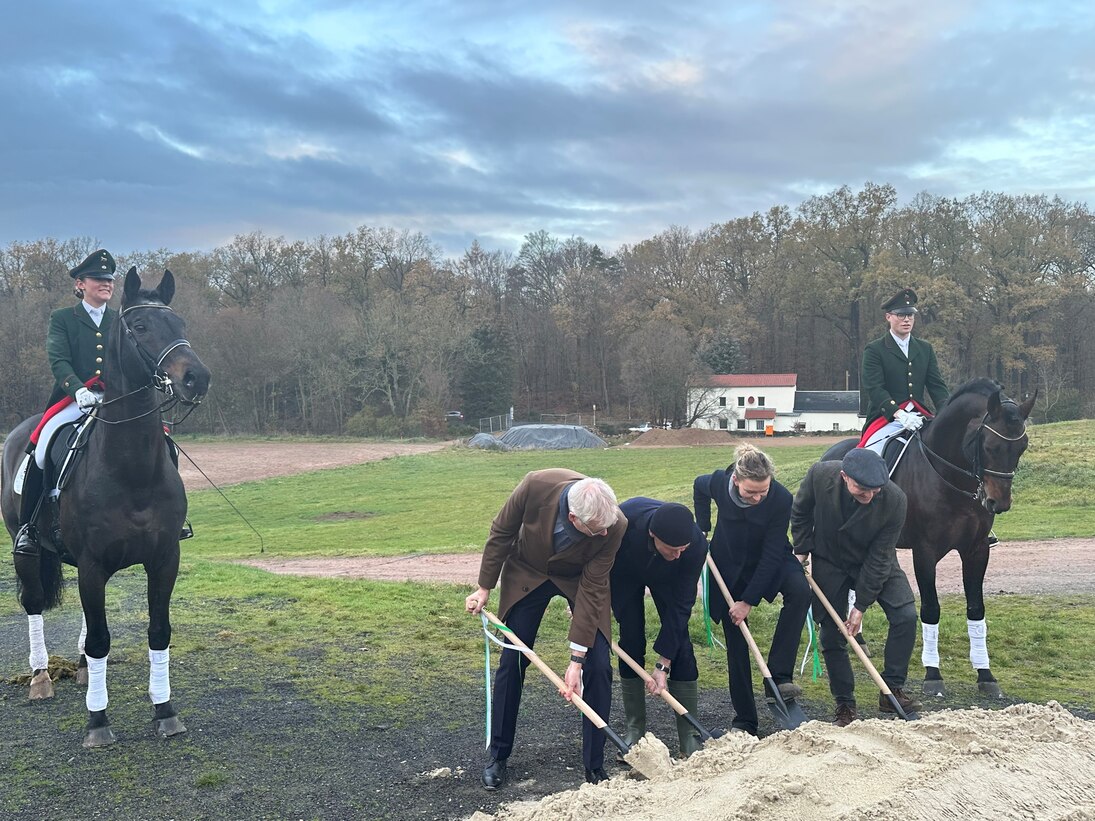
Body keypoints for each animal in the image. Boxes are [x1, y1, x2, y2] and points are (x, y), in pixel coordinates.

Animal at [0, 268, 211, 744]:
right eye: (140, 326)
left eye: (181, 323)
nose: (197, 378)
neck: (131, 470)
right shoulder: (94, 564)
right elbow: (99, 638)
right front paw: (98, 721)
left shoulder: (163, 559)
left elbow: (158, 631)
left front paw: (164, 710)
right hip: (28, 550)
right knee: (35, 603)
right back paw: (41, 678)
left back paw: (81, 671)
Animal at [823, 383, 1033, 696]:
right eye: (990, 447)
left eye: (1022, 447)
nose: (999, 502)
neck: (951, 478)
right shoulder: (925, 551)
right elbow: (931, 609)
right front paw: (933, 674)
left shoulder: (977, 550)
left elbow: (976, 608)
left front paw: (985, 675)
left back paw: (857, 638)